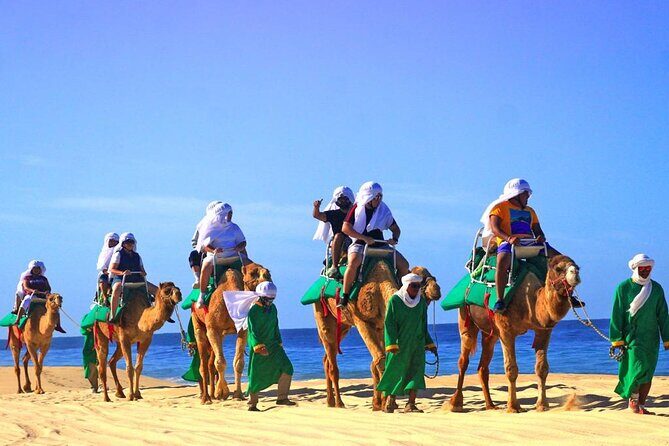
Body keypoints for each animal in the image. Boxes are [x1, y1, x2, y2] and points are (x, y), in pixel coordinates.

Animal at [191, 262, 272, 405]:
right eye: (252, 274)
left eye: (268, 273)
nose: (268, 283)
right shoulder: (213, 329)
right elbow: (220, 362)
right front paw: (222, 392)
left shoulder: (242, 330)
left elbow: (238, 362)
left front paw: (238, 395)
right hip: (197, 321)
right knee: (203, 363)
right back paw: (206, 398)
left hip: (221, 334)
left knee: (210, 364)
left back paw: (212, 395)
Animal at [313, 263, 441, 411]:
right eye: (419, 281)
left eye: (431, 275)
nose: (437, 288)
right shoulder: (362, 321)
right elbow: (380, 361)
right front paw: (385, 403)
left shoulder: (382, 324)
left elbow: (378, 362)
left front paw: (379, 403)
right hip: (321, 311)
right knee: (331, 357)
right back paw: (339, 403)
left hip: (344, 326)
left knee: (327, 358)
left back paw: (330, 401)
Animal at [448, 254, 581, 413]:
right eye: (558, 268)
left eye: (577, 266)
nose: (576, 272)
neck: (531, 302)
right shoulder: (506, 331)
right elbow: (511, 369)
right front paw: (513, 407)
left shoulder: (543, 330)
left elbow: (542, 368)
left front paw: (542, 405)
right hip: (465, 317)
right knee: (463, 360)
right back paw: (455, 403)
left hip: (491, 334)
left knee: (483, 366)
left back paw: (491, 405)